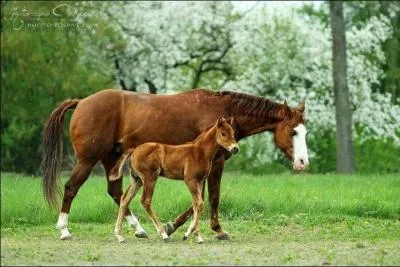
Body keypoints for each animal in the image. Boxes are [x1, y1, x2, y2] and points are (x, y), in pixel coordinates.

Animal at [42, 89, 308, 242]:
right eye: (293, 131)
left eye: (305, 131)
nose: (303, 162)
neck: (220, 111)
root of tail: (81, 102)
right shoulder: (215, 165)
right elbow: (211, 198)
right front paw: (215, 229)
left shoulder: (202, 171)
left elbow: (199, 200)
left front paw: (174, 227)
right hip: (87, 160)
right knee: (71, 187)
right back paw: (64, 229)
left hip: (112, 160)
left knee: (117, 193)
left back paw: (138, 229)